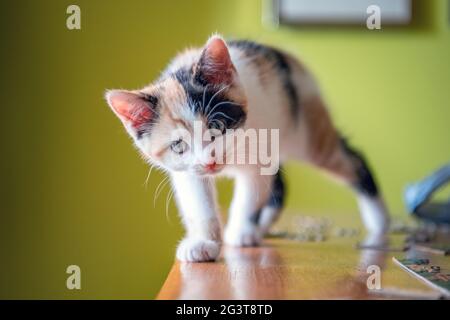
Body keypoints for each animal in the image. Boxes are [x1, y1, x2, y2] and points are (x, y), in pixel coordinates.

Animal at [106, 35, 390, 262]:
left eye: (217, 126)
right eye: (178, 145)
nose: (210, 162)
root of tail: (287, 57)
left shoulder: (260, 153)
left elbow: (250, 194)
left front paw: (240, 231)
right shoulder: (187, 171)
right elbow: (200, 204)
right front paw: (204, 243)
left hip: (308, 134)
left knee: (352, 160)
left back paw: (379, 219)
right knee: (279, 185)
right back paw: (261, 226)